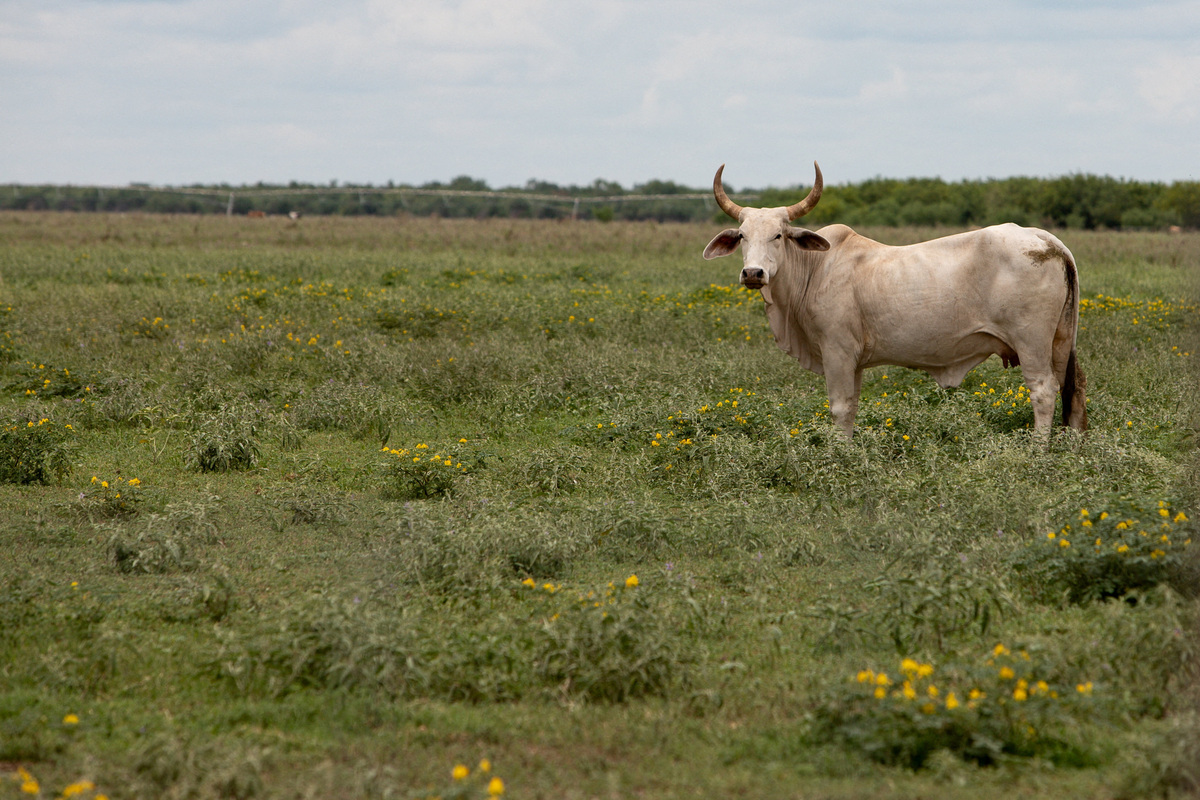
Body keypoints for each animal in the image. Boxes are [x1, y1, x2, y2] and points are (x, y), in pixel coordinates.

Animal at [702, 162, 1087, 439]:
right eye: (742, 236)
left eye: (778, 235)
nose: (753, 273)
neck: (815, 268)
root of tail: (1047, 239)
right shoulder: (854, 361)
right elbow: (851, 408)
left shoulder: (837, 351)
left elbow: (839, 408)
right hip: (1061, 341)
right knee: (1074, 388)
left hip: (1031, 342)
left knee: (1044, 391)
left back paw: (1037, 449)